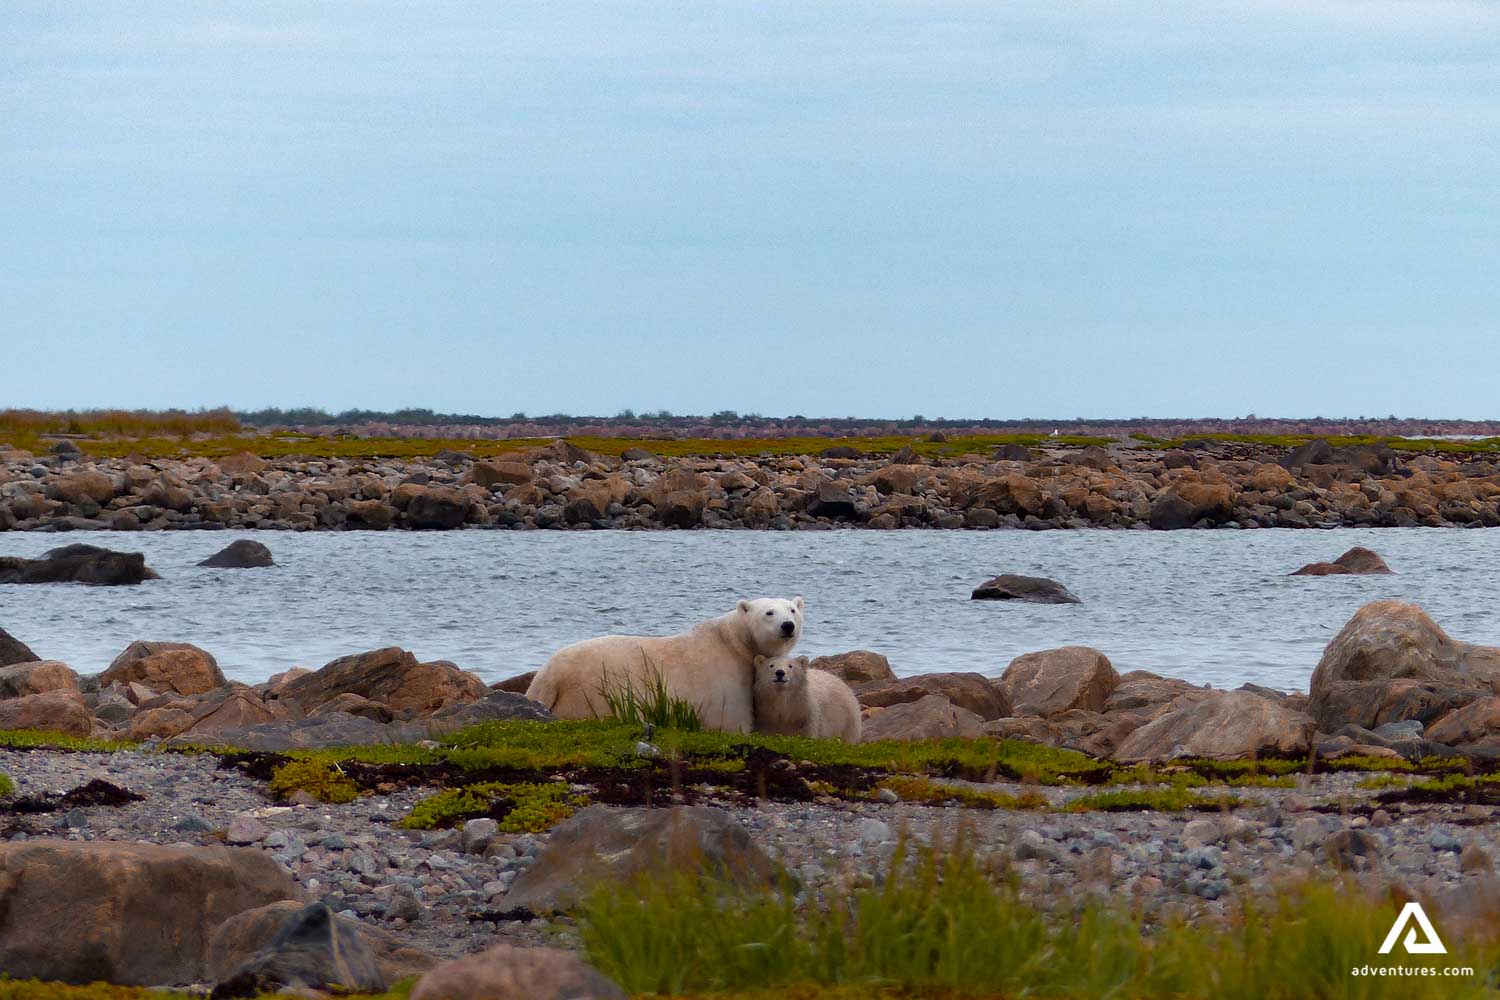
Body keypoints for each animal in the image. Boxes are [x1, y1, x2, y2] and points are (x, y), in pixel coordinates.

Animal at [524, 597, 805, 734]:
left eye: (792, 609)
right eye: (769, 612)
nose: (787, 626)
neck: (733, 641)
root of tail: (548, 675)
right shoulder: (726, 678)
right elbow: (731, 720)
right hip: (592, 693)